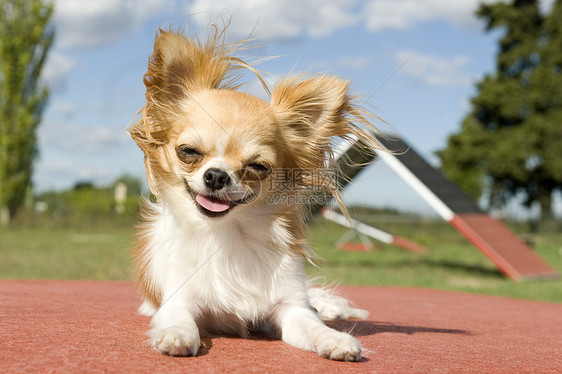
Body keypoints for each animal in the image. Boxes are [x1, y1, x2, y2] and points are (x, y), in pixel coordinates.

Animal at [127, 24, 380, 360]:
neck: (230, 234)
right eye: (188, 152)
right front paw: (177, 335)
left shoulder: (292, 308)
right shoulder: (178, 299)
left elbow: (312, 325)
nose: (216, 176)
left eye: (258, 166)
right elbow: (178, 317)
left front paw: (334, 338)